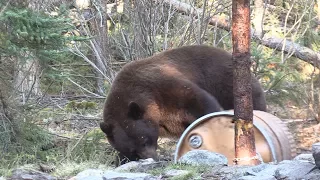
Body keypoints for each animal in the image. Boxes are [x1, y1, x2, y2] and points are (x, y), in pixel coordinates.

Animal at [99, 44, 264, 165]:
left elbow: (200, 102)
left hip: (229, 84)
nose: (153, 158)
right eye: (133, 150)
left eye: (144, 140)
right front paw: (120, 160)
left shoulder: (165, 88)